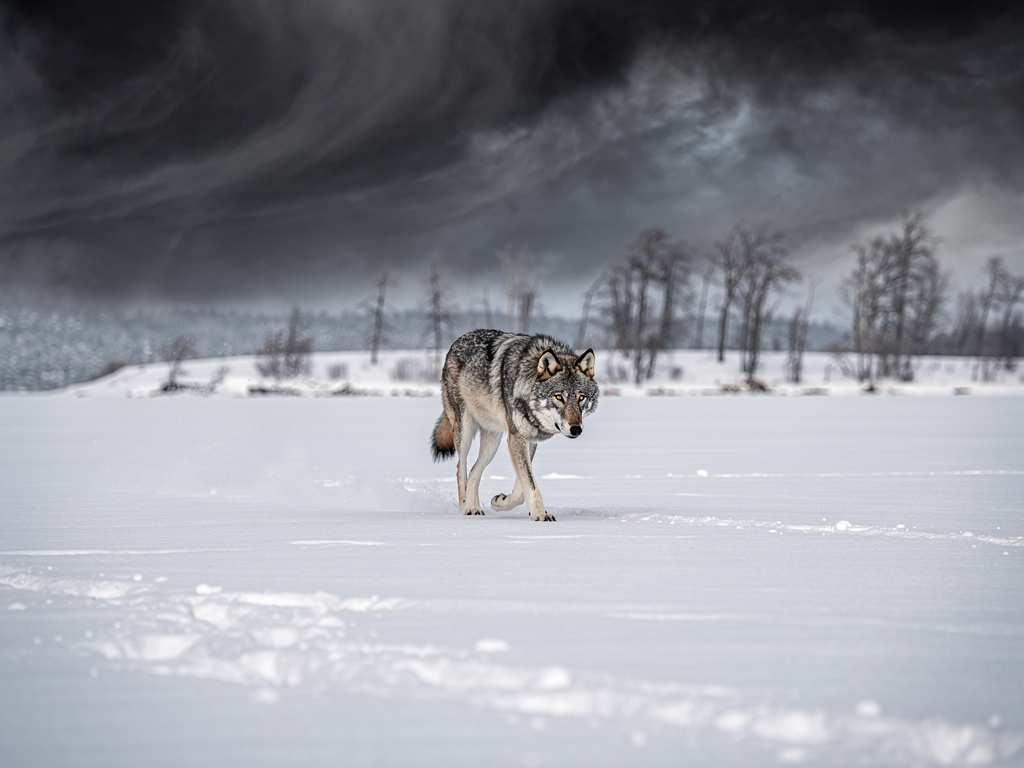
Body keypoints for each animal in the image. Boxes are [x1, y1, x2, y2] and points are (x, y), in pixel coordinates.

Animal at [430, 329, 598, 521]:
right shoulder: (516, 439)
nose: (576, 429)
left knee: (474, 471)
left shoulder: (528, 441)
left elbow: (521, 490)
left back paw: (474, 506)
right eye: (559, 397)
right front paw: (540, 515)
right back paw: (466, 508)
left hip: (492, 444)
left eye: (581, 398)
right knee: (461, 469)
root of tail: (456, 342)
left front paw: (500, 501)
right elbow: (530, 485)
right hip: (464, 432)